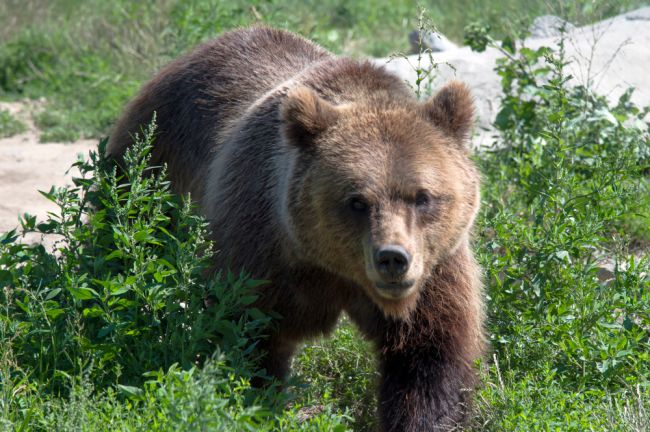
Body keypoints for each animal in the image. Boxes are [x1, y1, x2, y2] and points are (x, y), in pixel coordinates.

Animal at [106, 27, 480, 432]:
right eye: (357, 201)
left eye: (422, 197)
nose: (393, 258)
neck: (332, 268)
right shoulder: (260, 248)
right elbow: (247, 338)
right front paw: (255, 404)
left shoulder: (436, 269)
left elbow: (429, 356)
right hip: (153, 166)